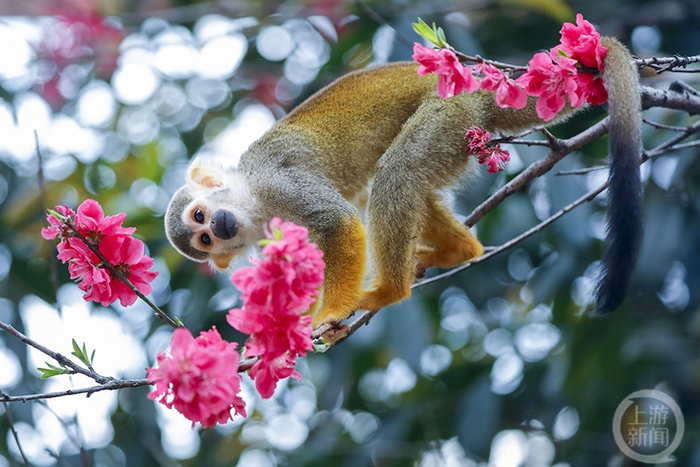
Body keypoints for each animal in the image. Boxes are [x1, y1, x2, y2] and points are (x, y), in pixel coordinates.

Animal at [164, 37, 642, 327]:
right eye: (205, 240)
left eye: (201, 217)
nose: (219, 227)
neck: (253, 204)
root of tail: (485, 92)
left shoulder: (273, 180)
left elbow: (338, 222)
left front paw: (330, 313)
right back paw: (456, 250)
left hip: (450, 111)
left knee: (398, 171)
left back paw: (391, 290)